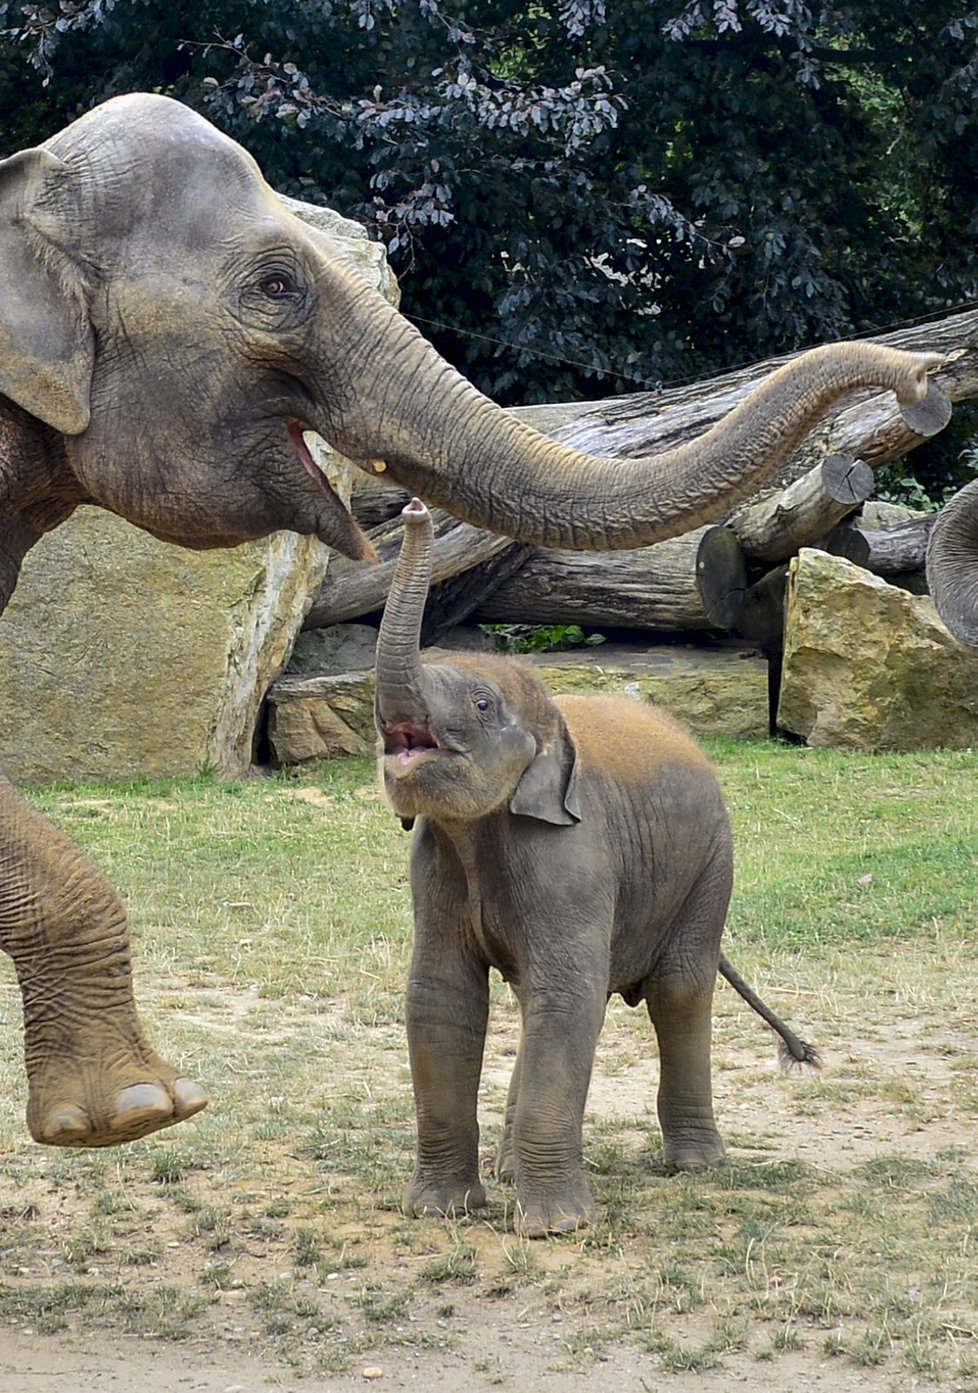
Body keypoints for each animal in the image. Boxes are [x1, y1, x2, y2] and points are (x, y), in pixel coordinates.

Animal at [376, 501, 819, 1242]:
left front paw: (554, 1229)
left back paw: (695, 1165)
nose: (412, 507)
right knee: (542, 1000)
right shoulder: (434, 863)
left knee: (679, 988)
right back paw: (508, 1171)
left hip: (711, 864)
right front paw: (439, 1210)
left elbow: (566, 997)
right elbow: (442, 997)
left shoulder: (571, 858)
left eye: (482, 704)